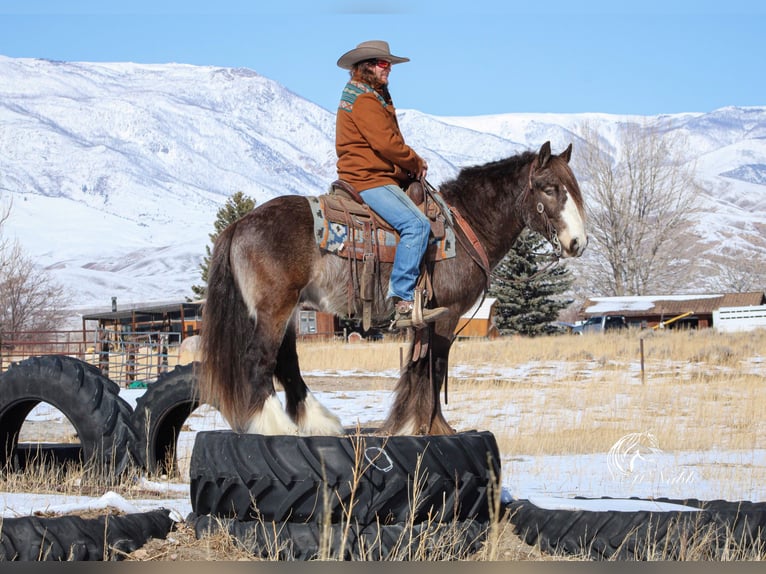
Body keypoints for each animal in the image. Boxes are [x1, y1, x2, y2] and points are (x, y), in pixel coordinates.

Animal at [198, 143, 588, 436]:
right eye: (549, 188)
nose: (577, 243)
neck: (465, 225)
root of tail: (239, 224)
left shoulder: (423, 318)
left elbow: (417, 367)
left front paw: (407, 425)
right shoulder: (446, 315)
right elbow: (435, 367)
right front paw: (434, 428)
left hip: (291, 310)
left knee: (286, 363)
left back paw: (319, 424)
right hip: (275, 308)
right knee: (259, 359)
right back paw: (276, 427)